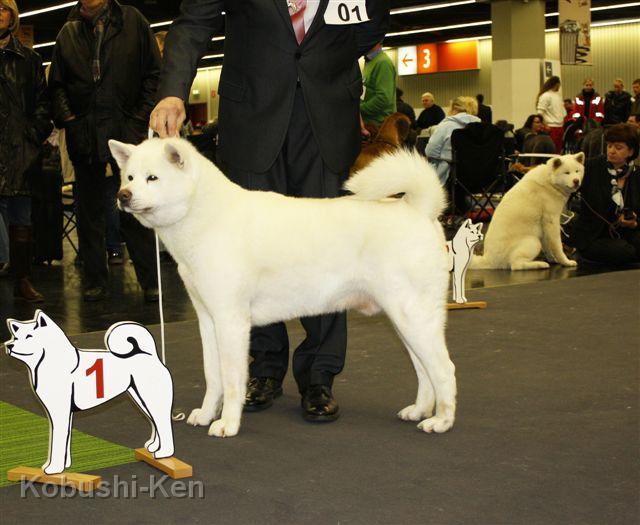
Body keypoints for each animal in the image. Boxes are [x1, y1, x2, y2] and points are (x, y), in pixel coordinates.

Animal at [109, 139, 456, 438]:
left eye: (152, 178)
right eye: (129, 176)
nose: (123, 195)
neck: (206, 216)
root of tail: (420, 210)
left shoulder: (231, 321)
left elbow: (232, 380)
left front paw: (228, 424)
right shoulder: (208, 320)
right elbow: (213, 375)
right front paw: (207, 414)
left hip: (413, 317)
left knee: (444, 369)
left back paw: (441, 421)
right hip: (404, 321)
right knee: (424, 370)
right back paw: (419, 410)